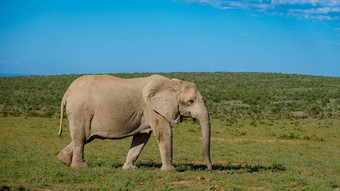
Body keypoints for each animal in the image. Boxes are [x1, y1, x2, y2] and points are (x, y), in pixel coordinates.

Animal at [57, 74, 212, 171]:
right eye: (190, 101)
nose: (209, 169)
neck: (171, 83)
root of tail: (67, 91)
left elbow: (142, 137)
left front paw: (129, 168)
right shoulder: (151, 108)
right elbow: (165, 132)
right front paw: (170, 170)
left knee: (87, 137)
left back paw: (63, 160)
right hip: (80, 110)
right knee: (81, 136)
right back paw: (80, 167)